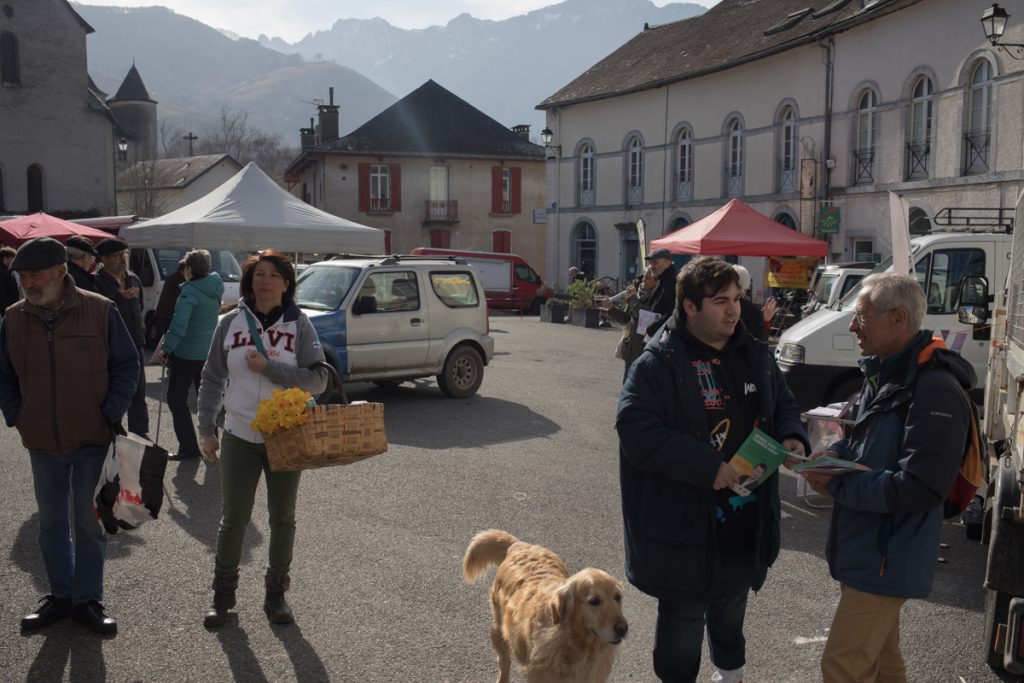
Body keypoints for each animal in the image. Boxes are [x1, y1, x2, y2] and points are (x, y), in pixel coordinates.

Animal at [462, 528, 622, 683]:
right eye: (594, 601)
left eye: (618, 597)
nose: (623, 628)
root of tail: (518, 544)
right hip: (499, 630)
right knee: (504, 662)